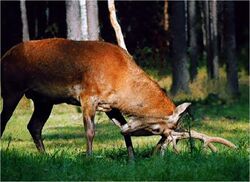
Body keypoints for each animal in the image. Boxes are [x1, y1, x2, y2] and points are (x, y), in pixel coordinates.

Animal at [0, 37, 235, 159]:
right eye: (156, 129)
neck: (120, 80)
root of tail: (4, 57)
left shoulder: (110, 105)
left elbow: (123, 130)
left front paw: (131, 159)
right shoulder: (88, 96)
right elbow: (90, 131)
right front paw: (89, 158)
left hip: (43, 100)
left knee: (34, 126)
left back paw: (45, 156)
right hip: (12, 89)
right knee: (5, 121)